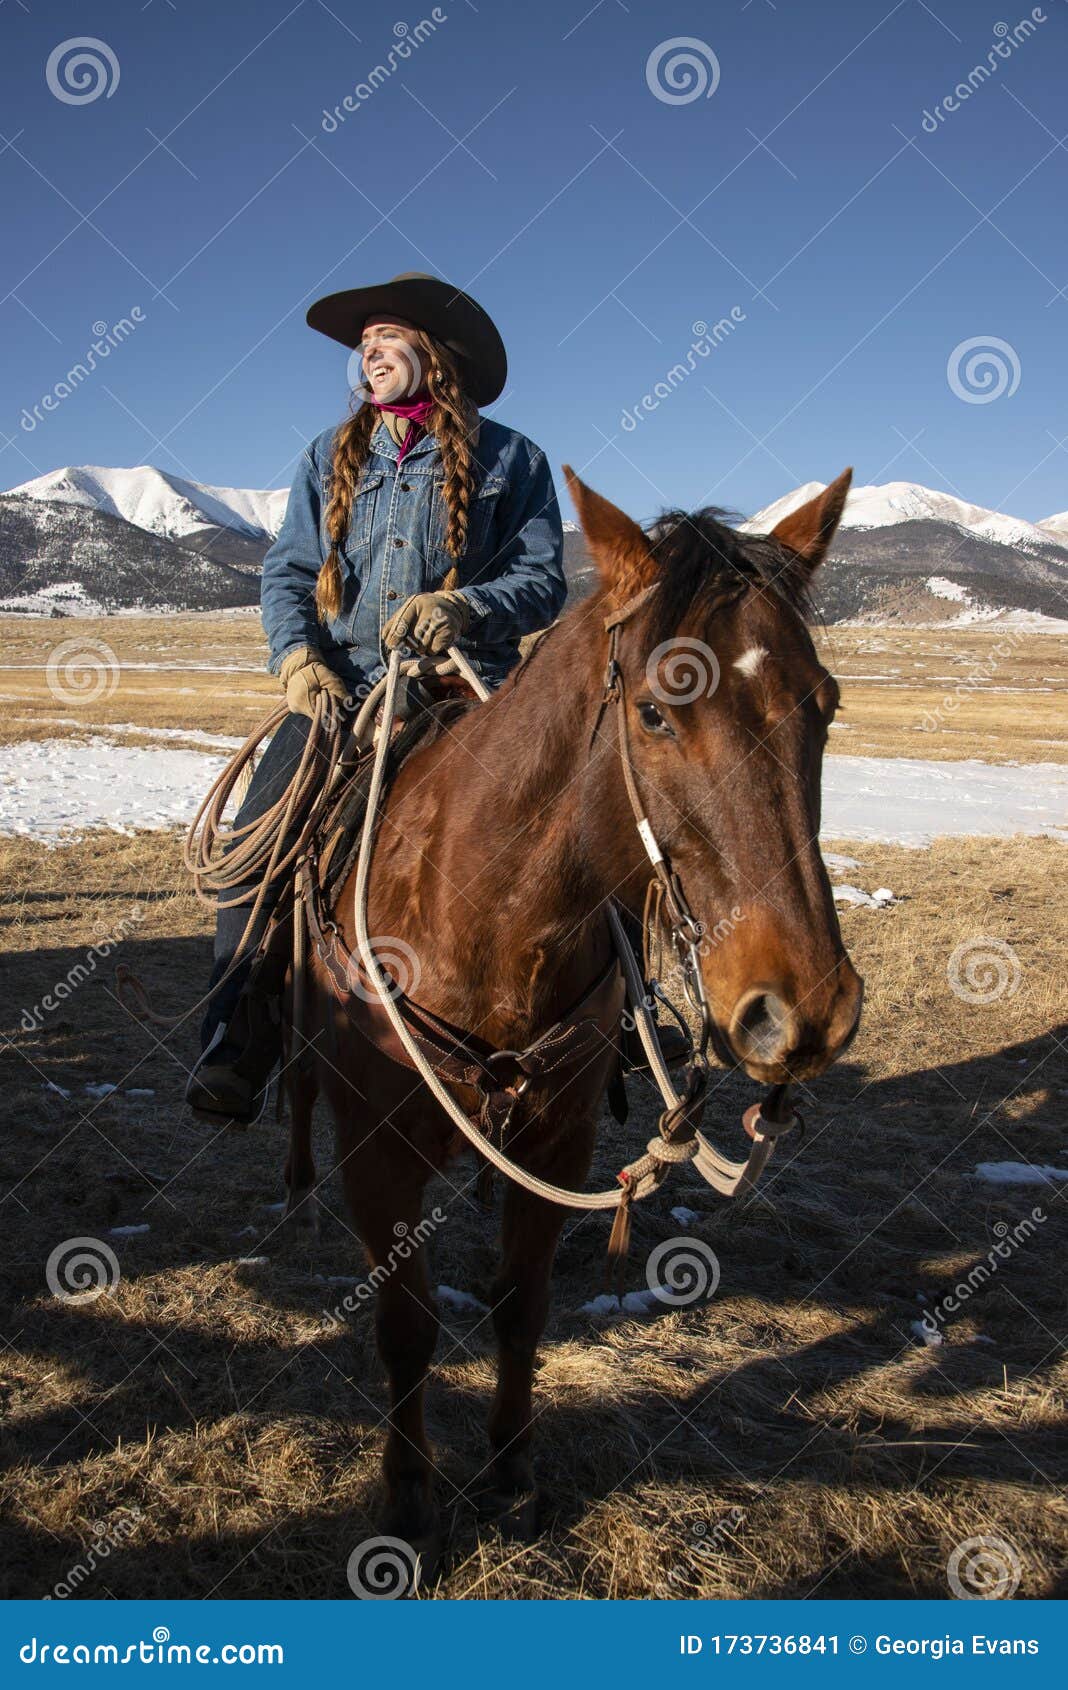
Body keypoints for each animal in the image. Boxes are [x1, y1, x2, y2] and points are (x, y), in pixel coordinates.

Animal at [287, 463, 865, 1554]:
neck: (484, 923)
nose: (804, 1009)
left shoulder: (557, 1141)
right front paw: (409, 1495)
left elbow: (522, 1305)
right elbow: (406, 1323)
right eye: (655, 712)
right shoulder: (375, 1149)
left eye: (825, 703)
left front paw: (511, 1476)